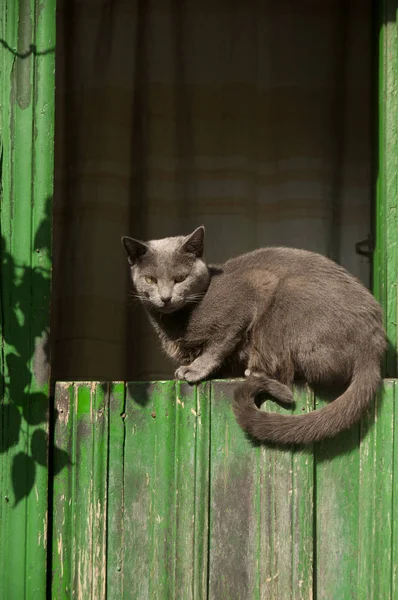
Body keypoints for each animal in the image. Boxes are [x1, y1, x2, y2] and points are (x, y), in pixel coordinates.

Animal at [122, 227, 386, 442]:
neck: (177, 321)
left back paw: (255, 371)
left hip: (285, 298)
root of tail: (373, 348)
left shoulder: (253, 287)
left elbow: (220, 343)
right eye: (150, 279)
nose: (165, 298)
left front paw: (195, 369)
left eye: (180, 279)